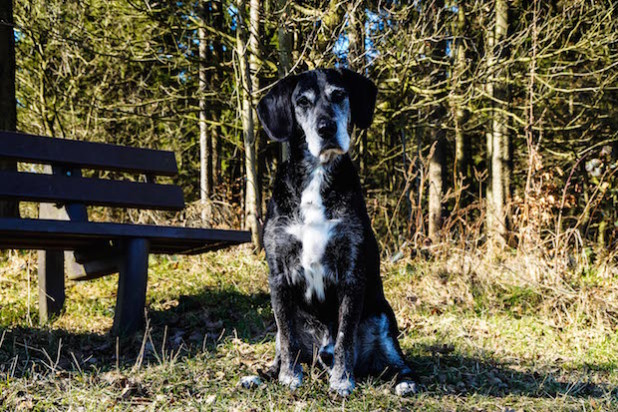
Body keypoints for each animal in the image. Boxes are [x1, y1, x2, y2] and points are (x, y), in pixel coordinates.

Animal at [243, 69, 416, 398]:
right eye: (302, 101)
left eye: (339, 95)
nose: (327, 128)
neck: (316, 175)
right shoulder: (279, 275)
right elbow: (288, 338)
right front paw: (289, 377)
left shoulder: (352, 272)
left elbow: (345, 336)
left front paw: (341, 381)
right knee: (284, 343)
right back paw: (261, 376)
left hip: (382, 317)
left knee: (396, 362)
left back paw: (404, 382)